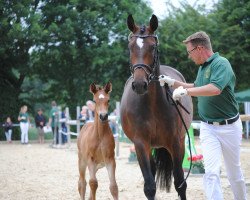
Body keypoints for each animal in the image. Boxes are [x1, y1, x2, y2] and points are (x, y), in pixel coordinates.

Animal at [120, 14, 192, 200]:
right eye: (130, 47)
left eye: (152, 47)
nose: (139, 85)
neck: (152, 104)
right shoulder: (140, 144)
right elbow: (150, 186)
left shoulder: (176, 143)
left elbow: (180, 183)